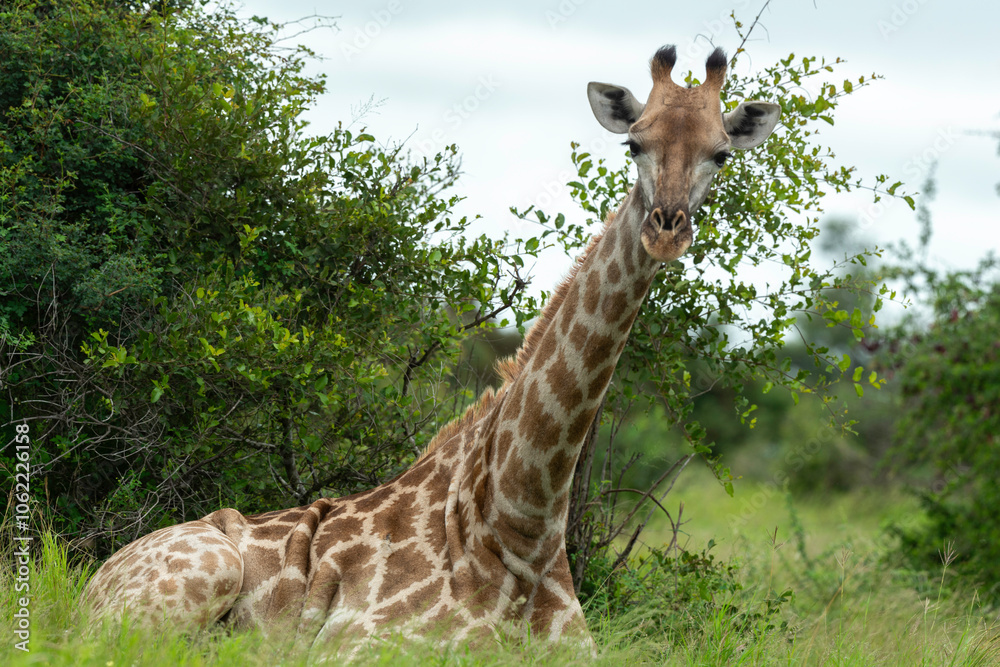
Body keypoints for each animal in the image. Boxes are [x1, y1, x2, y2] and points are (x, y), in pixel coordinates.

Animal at [82, 45, 780, 650]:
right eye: (633, 143)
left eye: (721, 154)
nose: (666, 229)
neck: (521, 525)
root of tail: (93, 581)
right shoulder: (365, 646)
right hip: (188, 584)